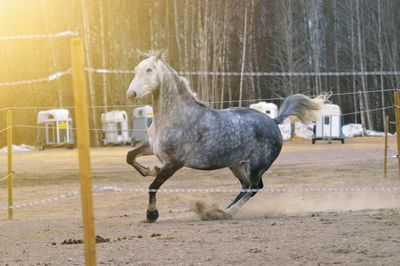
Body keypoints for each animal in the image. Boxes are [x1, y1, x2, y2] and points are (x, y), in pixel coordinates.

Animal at [126, 51, 326, 221]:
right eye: (136, 69)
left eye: (149, 70)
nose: (131, 94)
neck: (177, 117)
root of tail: (274, 121)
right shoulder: (153, 148)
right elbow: (130, 157)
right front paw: (149, 170)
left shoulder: (175, 162)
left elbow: (153, 185)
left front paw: (152, 214)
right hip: (236, 164)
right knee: (246, 186)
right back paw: (221, 210)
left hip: (256, 165)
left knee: (254, 187)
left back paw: (228, 212)